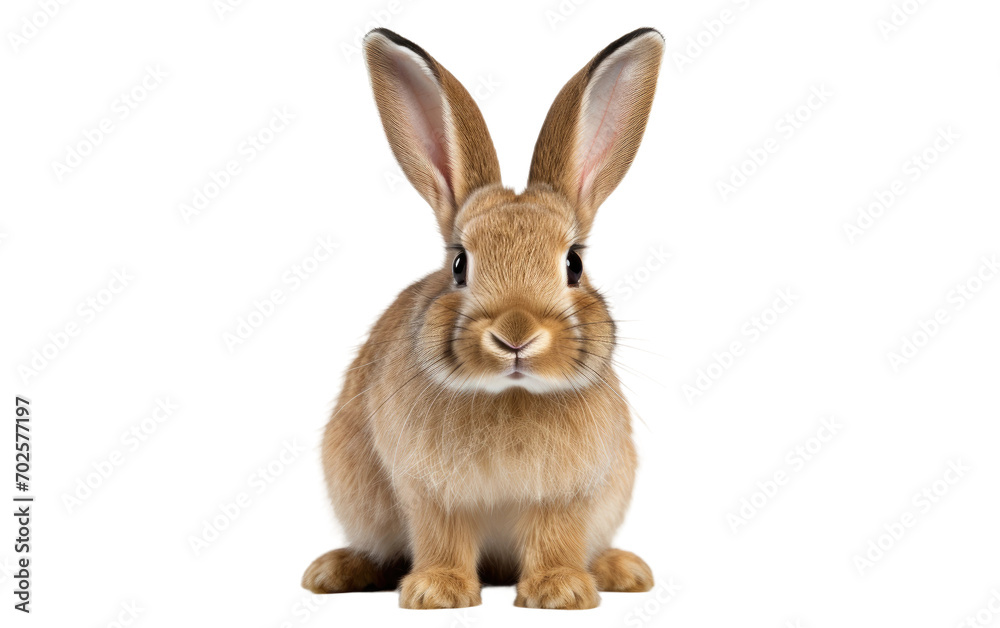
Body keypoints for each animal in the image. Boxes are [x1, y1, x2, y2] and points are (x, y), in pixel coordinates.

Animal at [302, 26, 664, 609]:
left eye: (574, 265)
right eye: (459, 265)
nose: (515, 336)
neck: (510, 394)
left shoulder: (569, 493)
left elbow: (557, 535)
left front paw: (561, 592)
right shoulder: (431, 491)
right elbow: (441, 536)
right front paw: (438, 593)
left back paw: (622, 570)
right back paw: (334, 571)